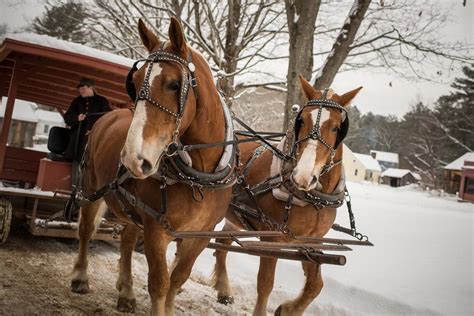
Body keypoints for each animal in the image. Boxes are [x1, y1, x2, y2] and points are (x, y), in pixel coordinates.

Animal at [69, 18, 234, 314]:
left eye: (173, 84)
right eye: (134, 82)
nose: (133, 159)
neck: (199, 176)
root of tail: (108, 115)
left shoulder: (198, 236)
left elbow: (178, 279)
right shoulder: (157, 229)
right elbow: (159, 282)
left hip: (133, 210)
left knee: (126, 240)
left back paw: (126, 291)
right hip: (90, 188)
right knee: (86, 229)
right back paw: (80, 277)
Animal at [213, 76, 362, 316]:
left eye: (337, 127)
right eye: (302, 121)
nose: (303, 176)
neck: (312, 197)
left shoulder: (311, 240)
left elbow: (315, 285)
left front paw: (289, 309)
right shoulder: (271, 238)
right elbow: (265, 282)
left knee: (222, 243)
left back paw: (224, 290)